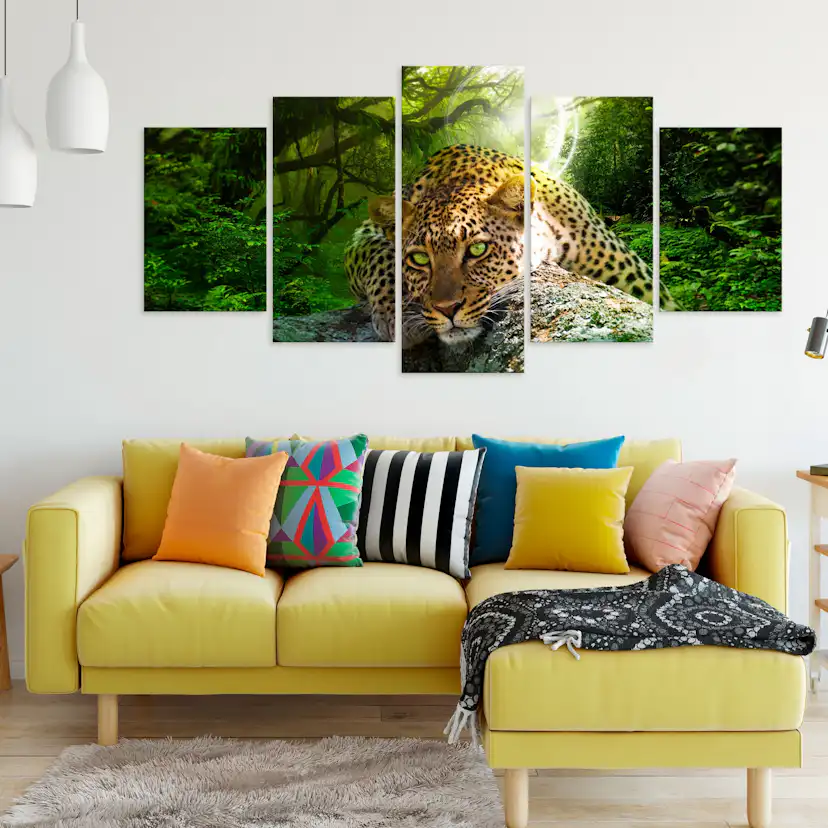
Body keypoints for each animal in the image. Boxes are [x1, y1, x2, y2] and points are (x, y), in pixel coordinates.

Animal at [345, 144, 671, 346]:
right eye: (420, 259)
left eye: (477, 250)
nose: (447, 309)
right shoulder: (363, 234)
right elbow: (379, 255)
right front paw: (397, 313)